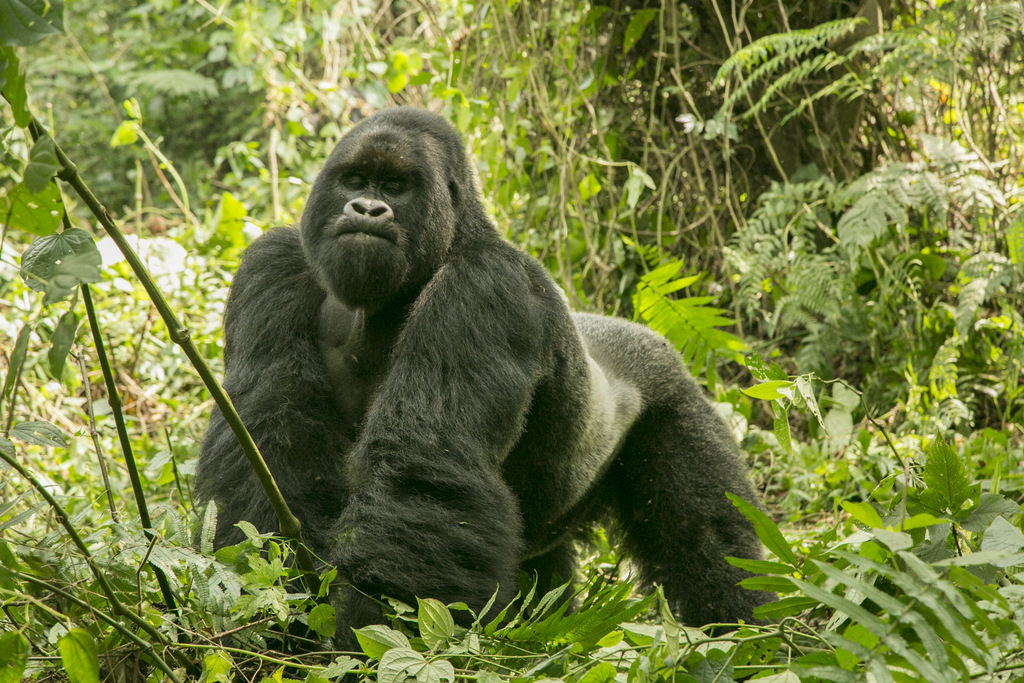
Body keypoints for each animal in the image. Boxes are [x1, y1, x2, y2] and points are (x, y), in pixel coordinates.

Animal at [193, 105, 770, 643]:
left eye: (395, 187)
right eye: (354, 181)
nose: (367, 208)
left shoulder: (484, 286)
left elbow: (424, 467)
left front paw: (368, 634)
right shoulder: (273, 264)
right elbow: (269, 442)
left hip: (674, 398)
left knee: (711, 544)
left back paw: (752, 634)